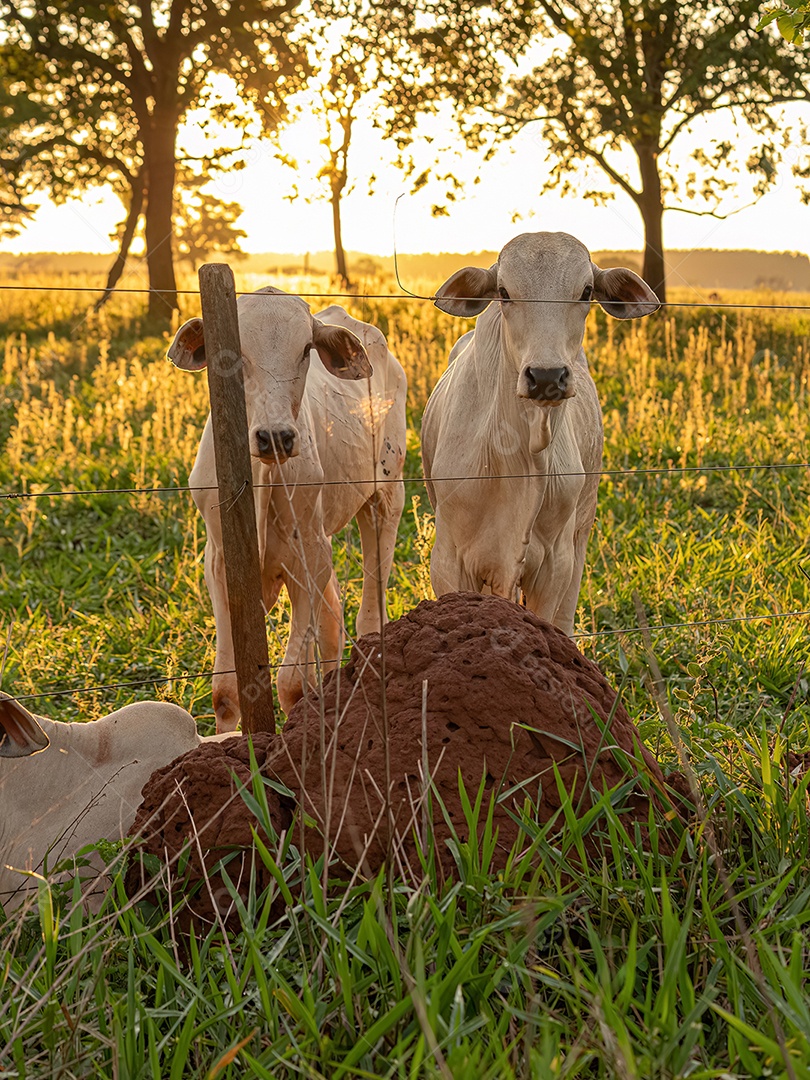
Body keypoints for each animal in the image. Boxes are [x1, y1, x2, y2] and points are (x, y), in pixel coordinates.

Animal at [169, 290, 407, 732]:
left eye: (306, 350)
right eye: (232, 352)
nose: (275, 436)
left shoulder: (307, 558)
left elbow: (293, 685)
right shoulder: (220, 563)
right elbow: (226, 690)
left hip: (385, 495)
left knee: (367, 614)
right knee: (332, 622)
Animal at [421, 231, 659, 633]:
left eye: (586, 292)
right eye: (503, 292)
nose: (547, 376)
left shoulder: (554, 563)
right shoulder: (449, 559)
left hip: (581, 530)